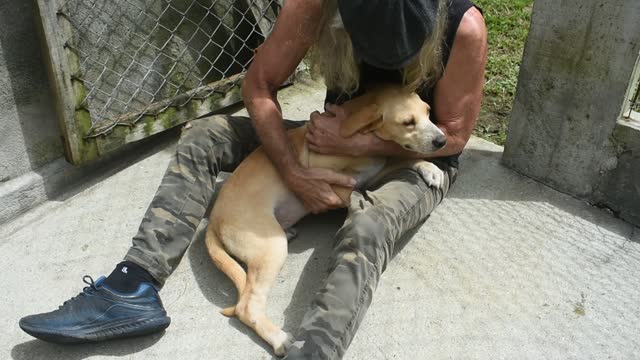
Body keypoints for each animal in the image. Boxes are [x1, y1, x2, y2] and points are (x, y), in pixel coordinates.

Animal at [205, 85, 444, 354]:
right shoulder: (333, 183)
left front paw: (429, 168)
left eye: (428, 111)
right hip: (271, 249)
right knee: (247, 306)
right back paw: (278, 338)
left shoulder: (376, 168)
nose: (442, 140)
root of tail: (213, 219)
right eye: (407, 122)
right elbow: (356, 189)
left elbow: (400, 158)